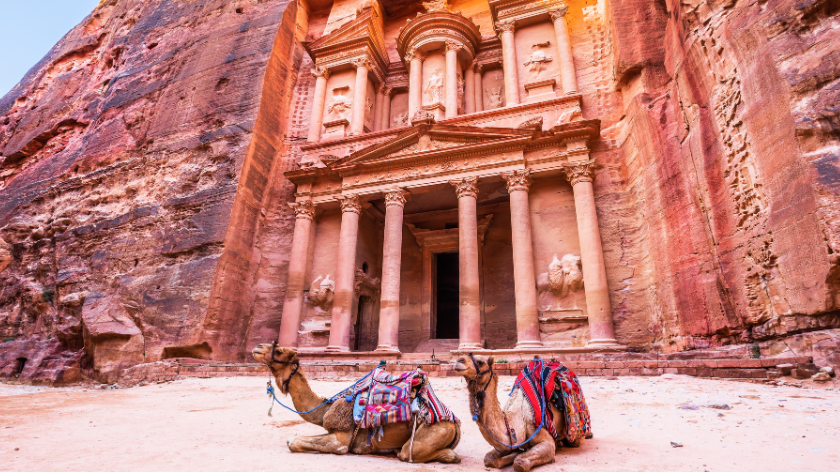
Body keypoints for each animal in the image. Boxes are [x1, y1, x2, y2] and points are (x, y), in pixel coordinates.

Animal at [253, 342, 462, 462]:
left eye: (279, 350)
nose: (257, 348)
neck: (326, 408)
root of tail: (455, 424)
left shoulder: (341, 439)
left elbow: (294, 442)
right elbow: (291, 438)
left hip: (432, 431)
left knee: (414, 453)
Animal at [452, 354, 584, 472]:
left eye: (480, 362)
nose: (459, 360)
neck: (518, 417)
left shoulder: (545, 439)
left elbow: (520, 462)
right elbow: (489, 458)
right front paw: (515, 453)